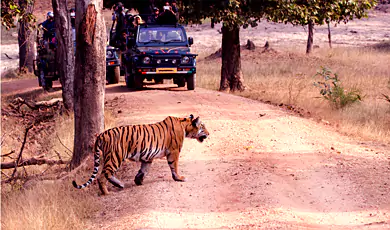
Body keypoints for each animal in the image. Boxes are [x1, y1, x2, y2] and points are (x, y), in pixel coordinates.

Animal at [71, 114, 209, 195]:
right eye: (203, 127)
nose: (209, 133)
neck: (184, 125)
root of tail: (101, 134)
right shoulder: (174, 151)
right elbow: (174, 166)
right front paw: (179, 178)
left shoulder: (148, 157)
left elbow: (144, 170)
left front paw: (138, 181)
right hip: (115, 157)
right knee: (102, 176)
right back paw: (107, 192)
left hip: (112, 158)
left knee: (107, 174)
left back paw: (120, 184)